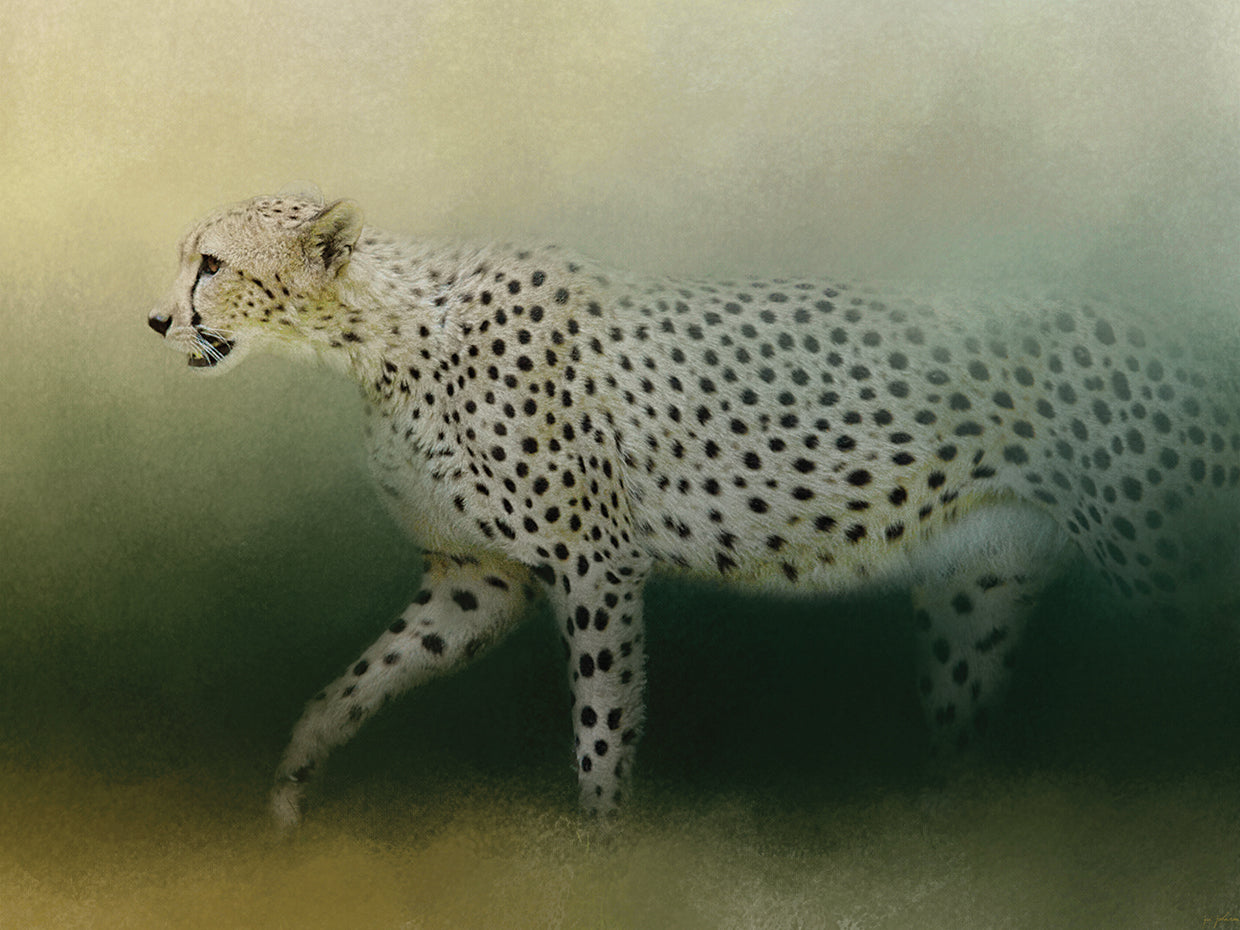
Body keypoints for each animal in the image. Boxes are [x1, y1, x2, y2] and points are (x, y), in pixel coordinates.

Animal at [147, 187, 1240, 829]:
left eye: (213, 264)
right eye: (186, 258)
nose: (158, 319)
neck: (384, 334)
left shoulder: (594, 562)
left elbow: (600, 723)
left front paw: (601, 853)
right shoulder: (476, 581)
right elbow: (355, 682)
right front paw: (291, 790)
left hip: (1162, 563)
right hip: (977, 592)